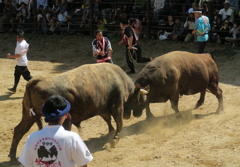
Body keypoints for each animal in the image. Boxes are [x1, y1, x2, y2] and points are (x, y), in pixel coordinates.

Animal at [8, 63, 142, 161]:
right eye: (137, 100)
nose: (134, 114)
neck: (120, 78)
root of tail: (36, 81)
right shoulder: (117, 106)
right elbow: (118, 123)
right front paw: (113, 140)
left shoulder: (103, 108)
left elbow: (108, 119)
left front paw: (111, 132)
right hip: (62, 119)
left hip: (28, 116)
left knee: (19, 130)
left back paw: (12, 156)